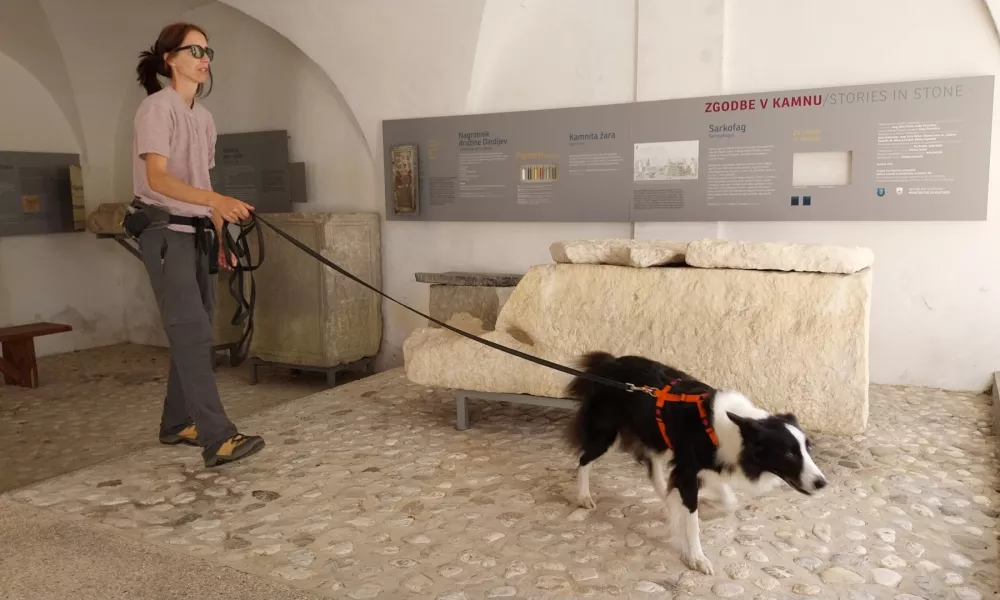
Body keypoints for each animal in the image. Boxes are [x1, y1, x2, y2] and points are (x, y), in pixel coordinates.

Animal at [564, 352, 828, 576]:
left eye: (808, 448)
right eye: (789, 454)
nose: (822, 483)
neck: (737, 430)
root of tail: (608, 362)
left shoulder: (701, 465)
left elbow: (728, 501)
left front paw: (707, 507)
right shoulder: (689, 469)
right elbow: (693, 519)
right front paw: (697, 557)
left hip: (658, 439)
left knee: (653, 469)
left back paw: (668, 500)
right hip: (607, 434)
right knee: (583, 460)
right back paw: (584, 496)